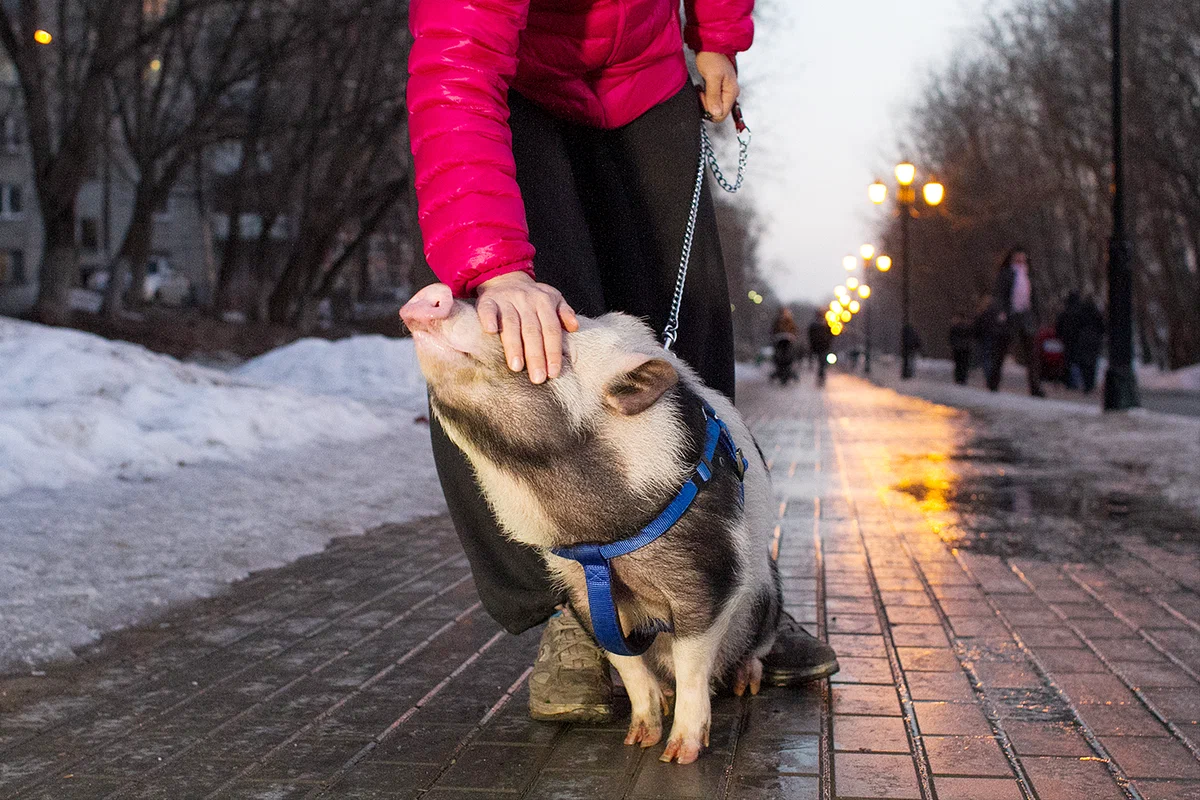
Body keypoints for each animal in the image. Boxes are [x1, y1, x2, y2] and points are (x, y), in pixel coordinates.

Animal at [398, 281, 782, 762]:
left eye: (553, 347)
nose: (432, 292)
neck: (597, 534)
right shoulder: (578, 584)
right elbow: (625, 661)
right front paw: (639, 736)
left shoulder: (709, 567)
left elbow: (692, 662)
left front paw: (678, 755)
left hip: (768, 599)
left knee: (755, 645)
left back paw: (746, 682)